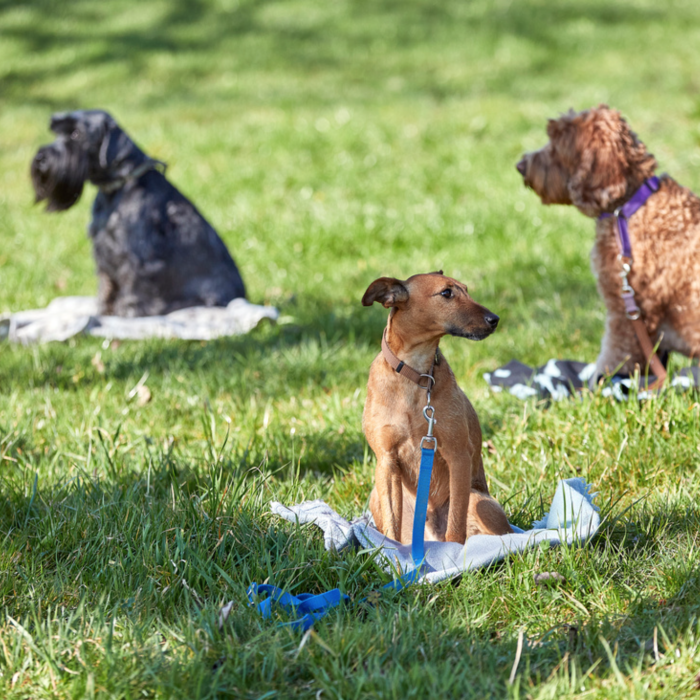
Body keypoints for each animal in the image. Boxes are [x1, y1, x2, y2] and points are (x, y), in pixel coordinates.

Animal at [32, 109, 246, 318]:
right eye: (56, 133)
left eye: (76, 134)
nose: (40, 159)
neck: (117, 187)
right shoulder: (104, 258)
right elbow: (106, 287)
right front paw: (104, 312)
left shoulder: (136, 258)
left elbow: (133, 289)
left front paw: (126, 314)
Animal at [360, 274, 508, 548]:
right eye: (446, 293)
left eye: (466, 290)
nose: (495, 319)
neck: (415, 372)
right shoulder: (386, 461)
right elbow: (391, 526)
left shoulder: (457, 455)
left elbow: (456, 528)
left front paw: (452, 554)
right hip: (376, 493)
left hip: (480, 502)